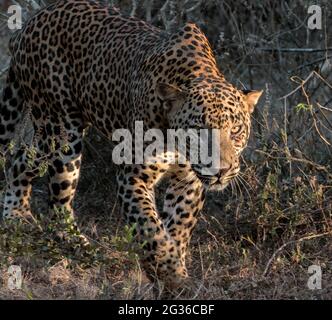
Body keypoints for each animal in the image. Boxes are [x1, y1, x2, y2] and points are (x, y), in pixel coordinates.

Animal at [0, 0, 262, 288]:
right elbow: (150, 227)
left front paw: (172, 270)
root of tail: (28, 24)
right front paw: (170, 272)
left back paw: (16, 217)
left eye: (236, 130)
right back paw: (79, 247)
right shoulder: (134, 175)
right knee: (57, 201)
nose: (222, 171)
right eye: (199, 130)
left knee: (20, 159)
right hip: (60, 132)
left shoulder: (188, 180)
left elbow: (178, 225)